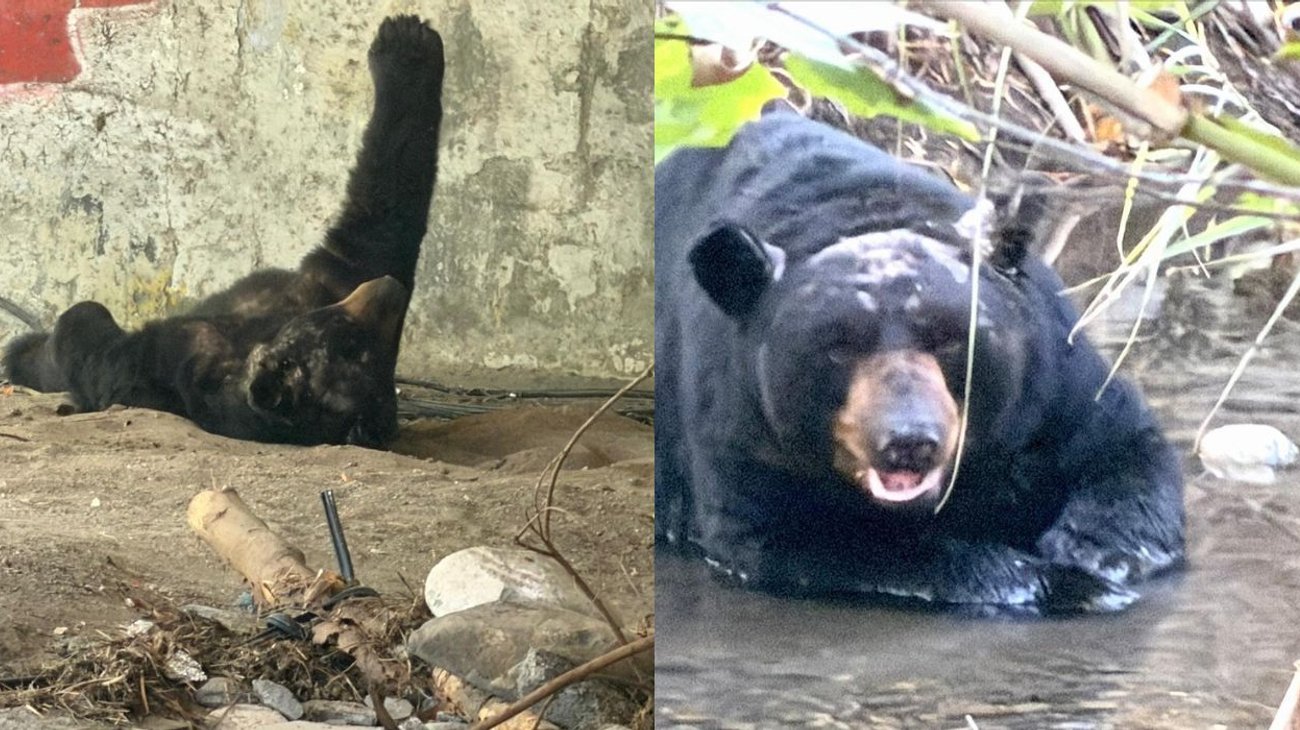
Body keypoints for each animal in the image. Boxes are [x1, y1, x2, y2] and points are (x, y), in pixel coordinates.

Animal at [2, 15, 443, 449]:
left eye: (356, 339)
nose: (387, 289)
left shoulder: (185, 352)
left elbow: (96, 346)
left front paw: (404, 42)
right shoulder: (321, 290)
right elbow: (385, 222)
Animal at [654, 111, 1185, 614]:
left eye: (949, 339)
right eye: (837, 346)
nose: (909, 441)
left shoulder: (1050, 382)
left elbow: (1122, 448)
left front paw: (1094, 555)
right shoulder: (739, 426)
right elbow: (800, 538)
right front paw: (1056, 583)